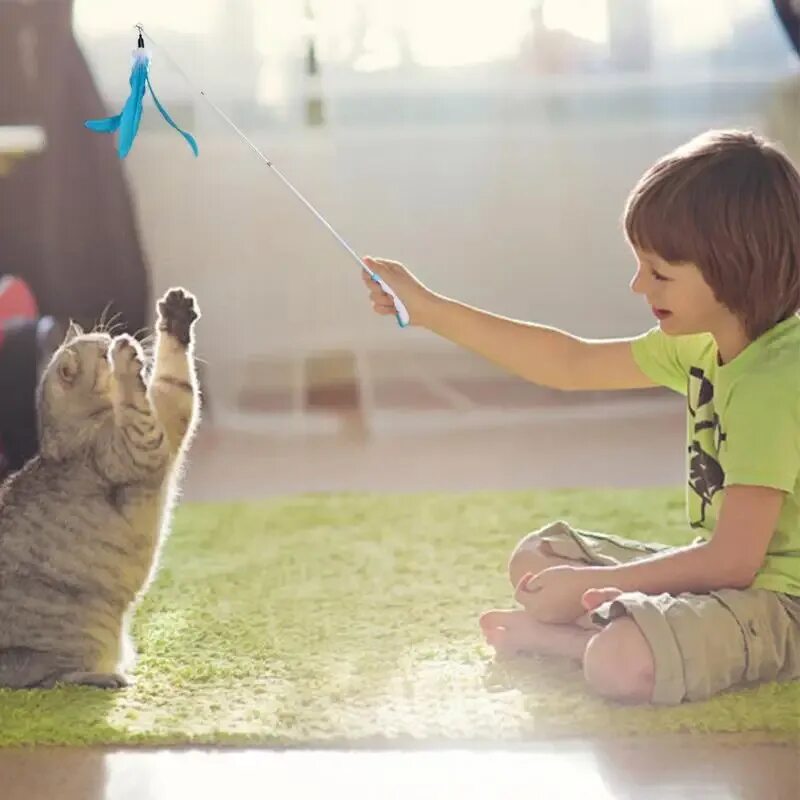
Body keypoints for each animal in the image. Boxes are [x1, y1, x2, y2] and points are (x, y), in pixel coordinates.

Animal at [0, 286, 200, 688]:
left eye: (104, 338)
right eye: (103, 352)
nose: (116, 340)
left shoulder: (168, 413)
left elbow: (175, 377)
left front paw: (174, 315)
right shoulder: (142, 441)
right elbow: (139, 400)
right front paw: (126, 360)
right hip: (82, 635)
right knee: (49, 679)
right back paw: (110, 677)